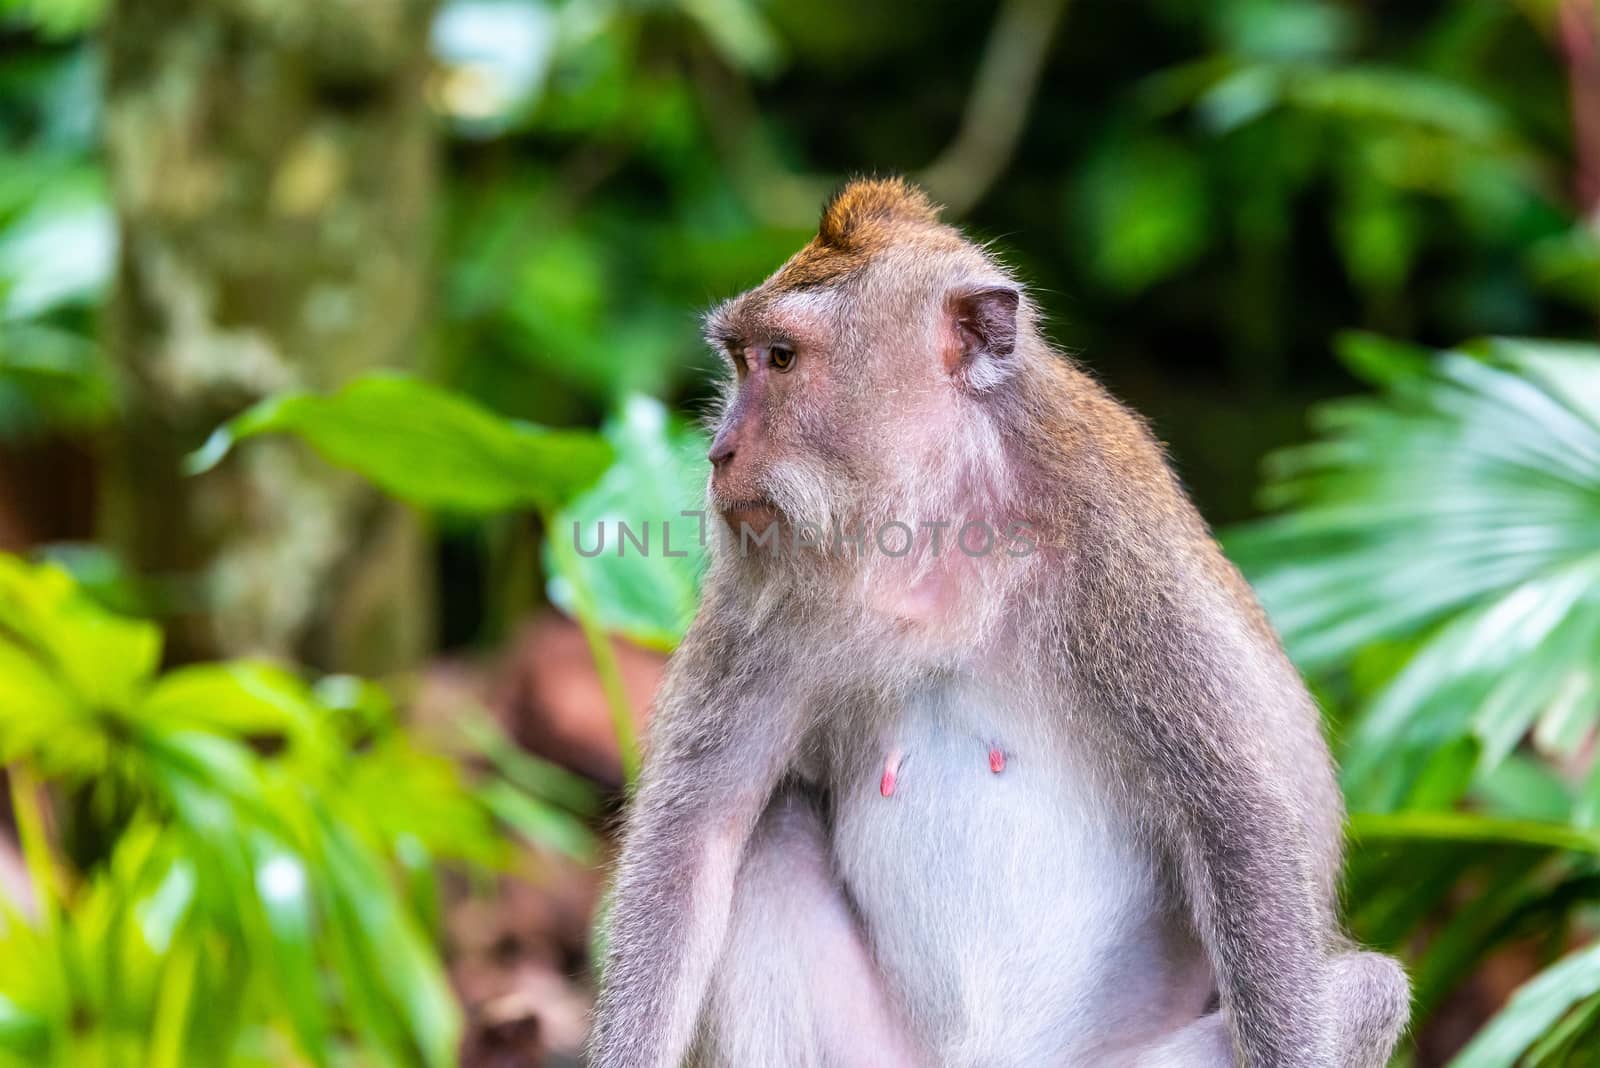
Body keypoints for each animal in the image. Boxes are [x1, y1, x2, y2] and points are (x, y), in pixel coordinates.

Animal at [585, 179, 1401, 1061]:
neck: (940, 526)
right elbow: (694, 842)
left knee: (1369, 990)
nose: (720, 453)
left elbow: (1238, 819)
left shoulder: (1126, 568)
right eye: (740, 360)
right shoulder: (760, 597)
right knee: (767, 836)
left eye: (782, 359)